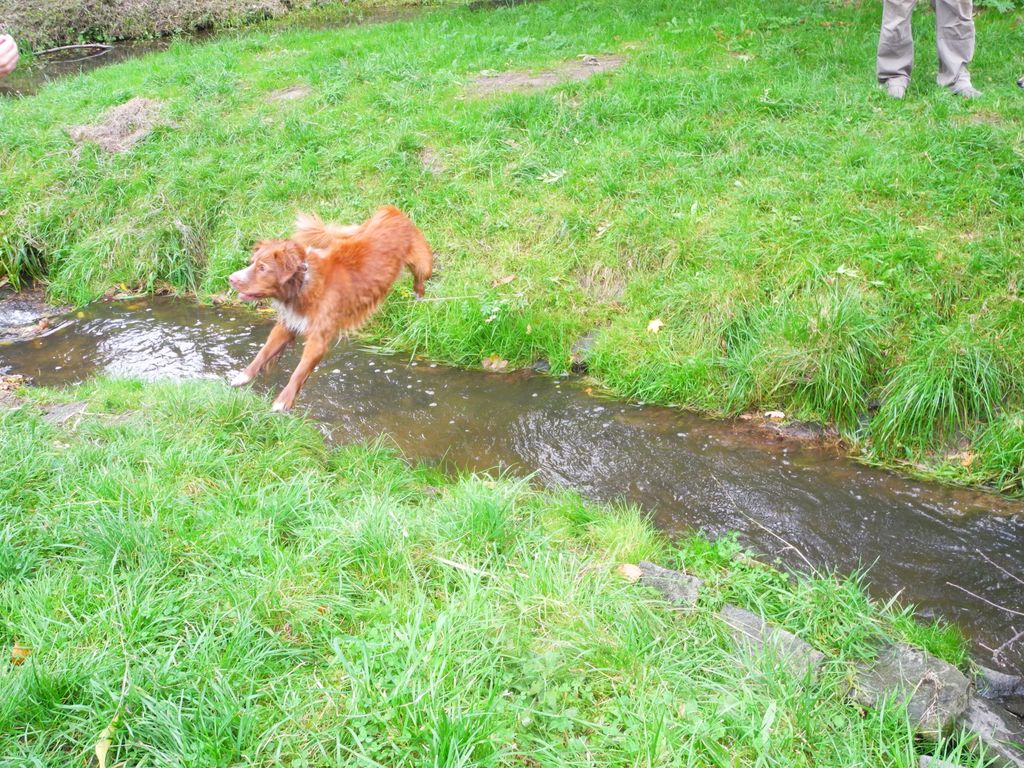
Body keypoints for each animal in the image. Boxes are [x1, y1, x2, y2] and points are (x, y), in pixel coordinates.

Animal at [228, 202, 432, 409]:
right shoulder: (288, 324)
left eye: (263, 268)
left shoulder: (318, 339)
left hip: (423, 263)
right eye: (252, 263)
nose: (231, 278)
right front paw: (243, 376)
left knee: (421, 279)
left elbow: (299, 371)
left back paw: (418, 297)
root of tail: (390, 210)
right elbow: (264, 351)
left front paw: (283, 402)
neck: (303, 284)